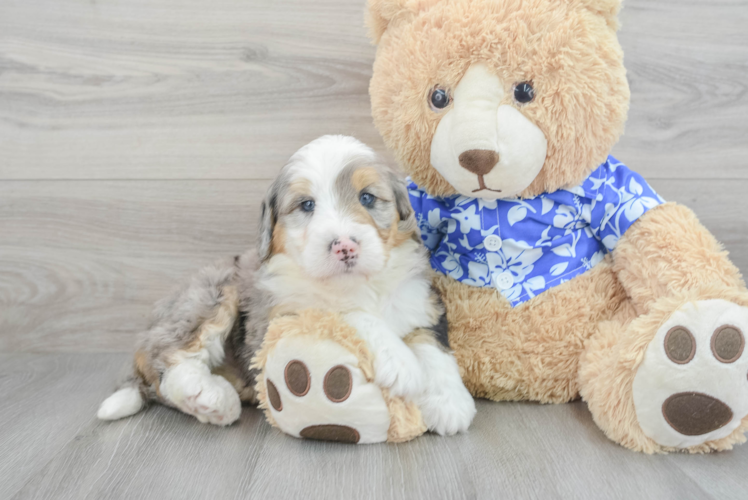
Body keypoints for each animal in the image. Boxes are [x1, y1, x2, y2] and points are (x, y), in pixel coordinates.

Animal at [98, 135, 474, 436]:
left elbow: (431, 344)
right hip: (212, 293)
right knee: (168, 359)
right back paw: (211, 397)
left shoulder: (419, 299)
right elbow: (343, 312)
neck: (356, 284)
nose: (345, 247)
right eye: (306, 205)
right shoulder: (279, 316)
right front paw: (400, 362)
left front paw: (450, 402)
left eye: (367, 198)